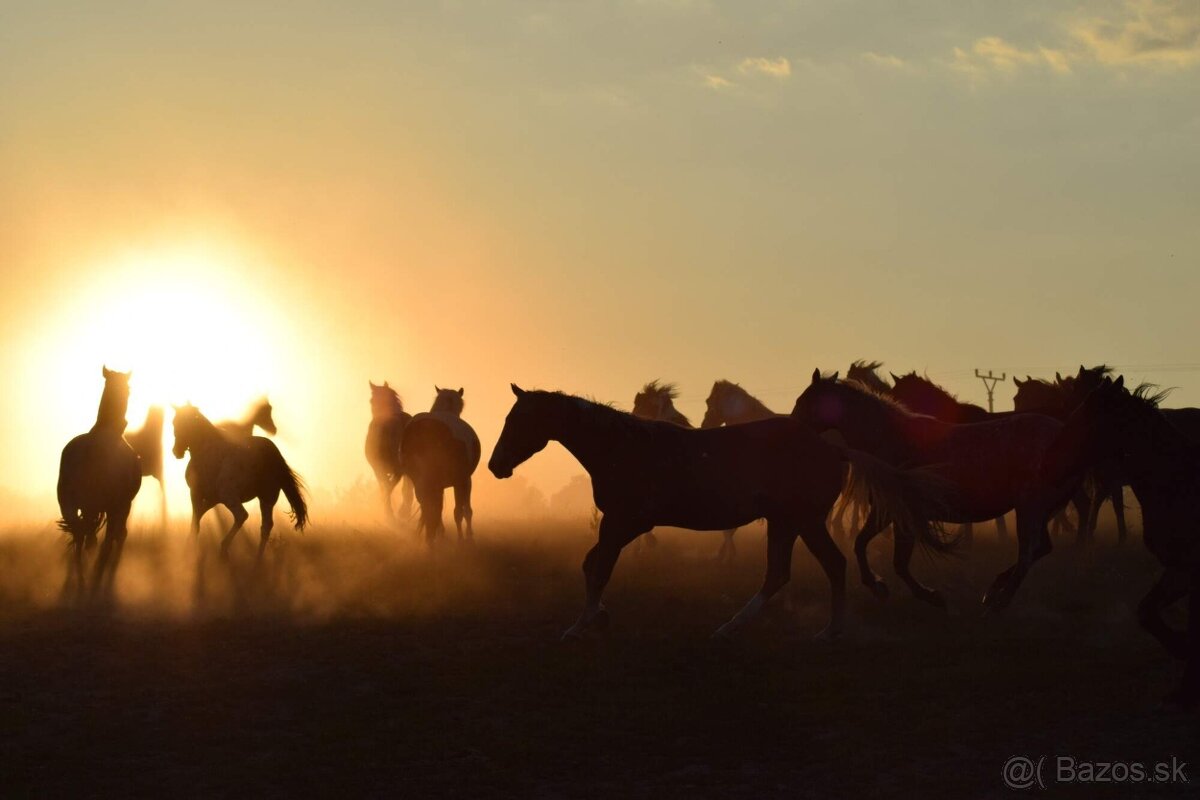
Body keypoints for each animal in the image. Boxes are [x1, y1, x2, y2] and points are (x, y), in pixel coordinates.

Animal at [56, 367, 141, 597]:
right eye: (129, 388)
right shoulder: (122, 505)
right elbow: (116, 537)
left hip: (70, 504)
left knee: (81, 536)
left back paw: (82, 579)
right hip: (112, 507)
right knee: (109, 539)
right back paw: (97, 578)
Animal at [171, 402, 309, 561]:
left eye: (177, 422)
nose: (176, 451)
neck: (205, 447)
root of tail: (269, 453)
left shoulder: (196, 493)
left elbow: (195, 520)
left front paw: (189, 549)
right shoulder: (213, 498)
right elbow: (199, 515)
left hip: (230, 496)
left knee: (242, 516)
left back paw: (224, 549)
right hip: (266, 498)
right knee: (266, 526)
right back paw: (257, 559)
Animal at [362, 383, 415, 525]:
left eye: (371, 401)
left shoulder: (378, 469)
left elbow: (385, 487)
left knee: (392, 488)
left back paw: (394, 514)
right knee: (405, 490)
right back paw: (402, 513)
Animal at [487, 383, 955, 642]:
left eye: (518, 421)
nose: (495, 466)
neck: (624, 448)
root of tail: (831, 447)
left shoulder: (624, 523)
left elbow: (599, 568)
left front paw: (579, 625)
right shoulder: (621, 526)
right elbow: (590, 566)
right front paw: (598, 616)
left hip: (802, 521)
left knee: (829, 565)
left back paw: (826, 630)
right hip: (786, 523)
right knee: (783, 574)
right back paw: (735, 628)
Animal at [796, 371, 1060, 609]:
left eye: (802, 402)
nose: (793, 429)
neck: (891, 438)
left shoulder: (899, 512)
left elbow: (897, 562)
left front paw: (926, 594)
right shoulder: (888, 510)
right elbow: (861, 544)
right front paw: (879, 586)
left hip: (1030, 507)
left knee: (1030, 551)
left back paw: (999, 597)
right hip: (1038, 508)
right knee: (1040, 547)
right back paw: (995, 589)